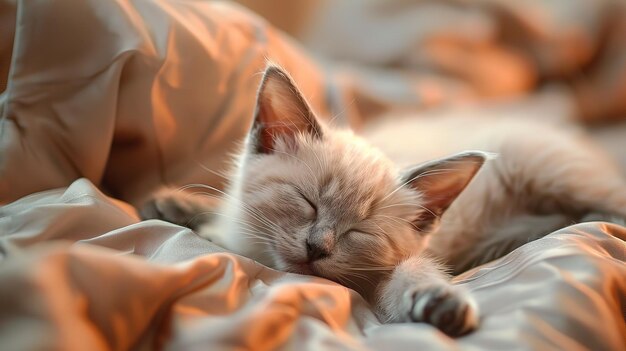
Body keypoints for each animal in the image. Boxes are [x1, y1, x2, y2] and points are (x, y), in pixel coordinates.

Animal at [140, 64, 624, 336]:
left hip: (545, 165)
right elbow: (221, 214)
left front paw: (440, 302)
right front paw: (173, 206)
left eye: (360, 232)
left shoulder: (383, 275)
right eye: (307, 202)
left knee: (610, 206)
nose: (317, 247)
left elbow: (410, 276)